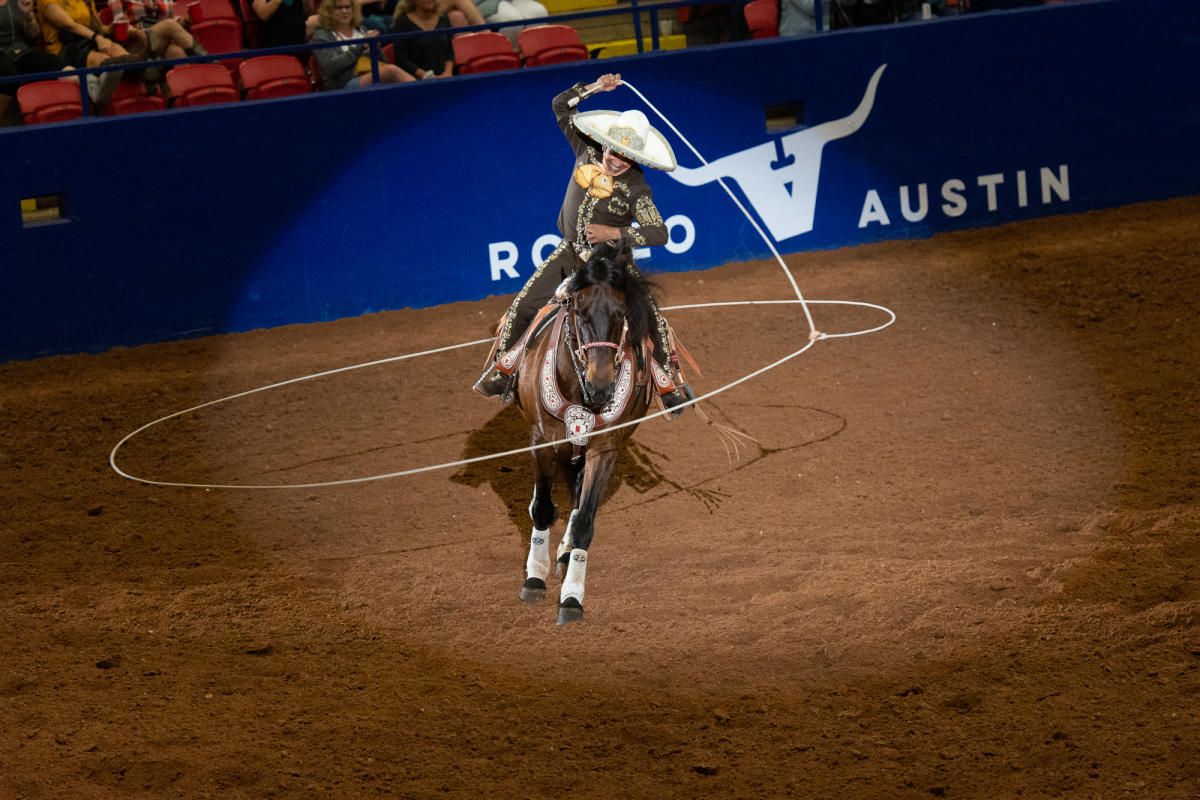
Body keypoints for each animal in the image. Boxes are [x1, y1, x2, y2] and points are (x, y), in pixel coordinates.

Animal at [513, 237, 662, 623]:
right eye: (578, 313)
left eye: (621, 314)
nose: (601, 386)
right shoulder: (541, 440)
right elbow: (543, 508)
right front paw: (534, 578)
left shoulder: (604, 448)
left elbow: (584, 521)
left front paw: (571, 597)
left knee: (579, 498)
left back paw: (565, 553)